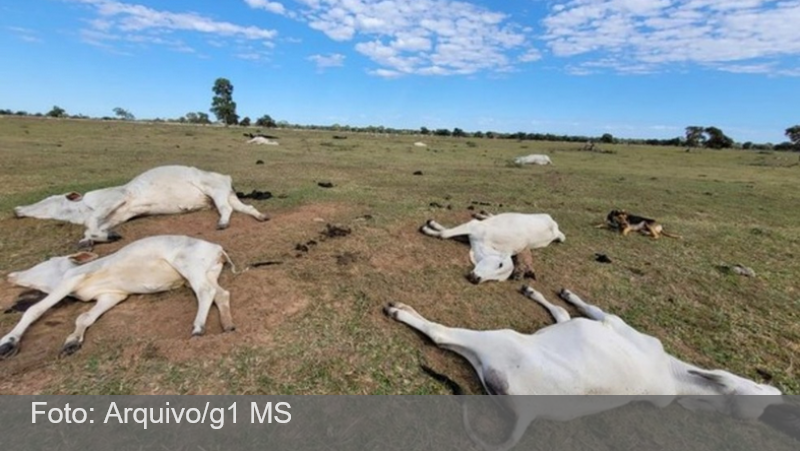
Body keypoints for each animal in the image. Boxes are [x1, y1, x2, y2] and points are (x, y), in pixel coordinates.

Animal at [1, 235, 237, 358]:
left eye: (47, 261)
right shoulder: (112, 296)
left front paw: (8, 342)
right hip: (208, 272)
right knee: (221, 293)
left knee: (205, 292)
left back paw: (198, 327)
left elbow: (34, 309)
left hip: (189, 266)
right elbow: (85, 317)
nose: (11, 276)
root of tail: (217, 248)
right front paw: (72, 342)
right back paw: (227, 324)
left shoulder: (72, 280)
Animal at [13, 165, 269, 248]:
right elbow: (94, 229)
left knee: (227, 210)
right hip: (226, 194)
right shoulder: (117, 215)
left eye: (48, 200)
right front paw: (95, 239)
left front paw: (99, 237)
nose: (17, 210)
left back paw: (223, 223)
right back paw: (261, 216)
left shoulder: (117, 197)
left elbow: (92, 223)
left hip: (215, 191)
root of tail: (226, 177)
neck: (82, 208)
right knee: (245, 208)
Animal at [385, 286, 786, 451]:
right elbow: (562, 313)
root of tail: (528, 413)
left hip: (498, 341)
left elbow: (583, 307)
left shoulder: (611, 321)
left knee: (441, 335)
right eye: (764, 390)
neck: (675, 376)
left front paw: (563, 293)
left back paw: (401, 310)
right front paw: (538, 293)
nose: (781, 396)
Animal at [420, 212, 565, 284]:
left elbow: (446, 232)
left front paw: (431, 227)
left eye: (496, 280)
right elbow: (445, 233)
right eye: (500, 264)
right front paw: (428, 226)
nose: (476, 279)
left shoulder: (469, 235)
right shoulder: (474, 226)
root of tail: (556, 229)